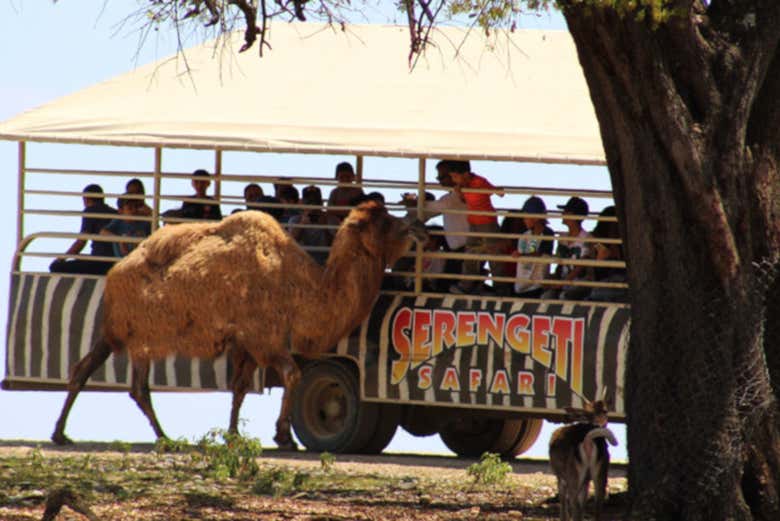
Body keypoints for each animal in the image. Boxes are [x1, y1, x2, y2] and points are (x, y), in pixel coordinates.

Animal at [51, 200, 426, 446]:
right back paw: (164, 437)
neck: (300, 289)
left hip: (114, 332)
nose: (417, 228)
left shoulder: (247, 345)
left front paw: (233, 435)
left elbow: (240, 387)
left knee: (85, 368)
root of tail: (114, 272)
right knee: (138, 388)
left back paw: (62, 434)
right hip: (142, 335)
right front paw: (283, 437)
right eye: (385, 222)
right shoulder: (265, 338)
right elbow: (292, 374)